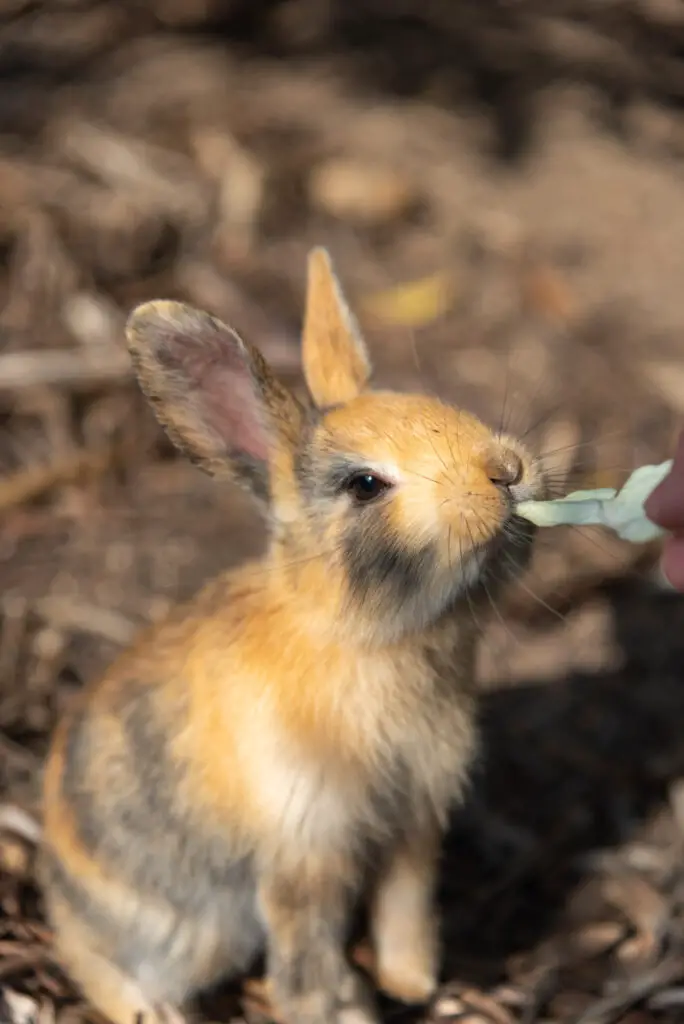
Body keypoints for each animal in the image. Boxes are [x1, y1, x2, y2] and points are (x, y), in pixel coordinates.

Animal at [41, 247, 544, 1024]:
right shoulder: (305, 853)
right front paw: (331, 1009)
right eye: (365, 485)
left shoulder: (411, 824)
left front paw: (410, 984)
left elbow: (405, 909)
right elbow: (305, 957)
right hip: (187, 930)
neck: (362, 639)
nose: (508, 471)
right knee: (98, 963)